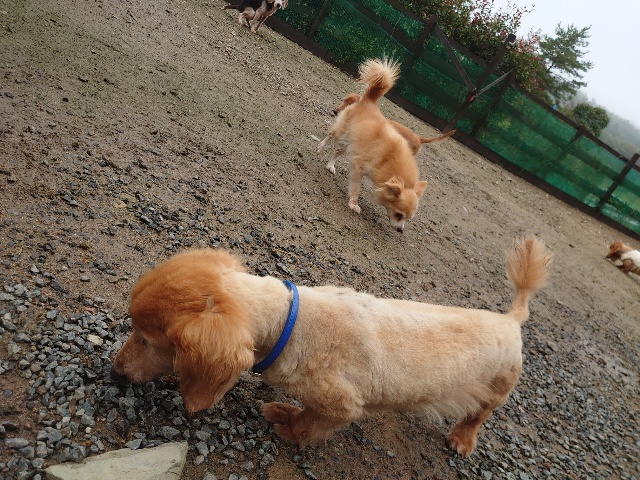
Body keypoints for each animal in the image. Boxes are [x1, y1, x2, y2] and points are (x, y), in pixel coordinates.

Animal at [111, 237, 552, 457]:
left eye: (148, 340)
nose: (114, 374)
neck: (289, 322)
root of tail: (511, 320)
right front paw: (283, 410)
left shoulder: (343, 405)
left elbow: (312, 423)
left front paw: (290, 428)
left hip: (497, 389)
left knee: (478, 416)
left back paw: (462, 439)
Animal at [317, 58, 429, 232]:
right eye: (398, 215)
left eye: (408, 219)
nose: (400, 230)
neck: (389, 163)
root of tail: (369, 101)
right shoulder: (359, 166)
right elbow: (356, 187)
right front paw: (353, 204)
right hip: (341, 132)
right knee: (330, 134)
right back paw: (320, 147)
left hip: (352, 143)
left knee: (337, 150)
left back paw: (330, 165)